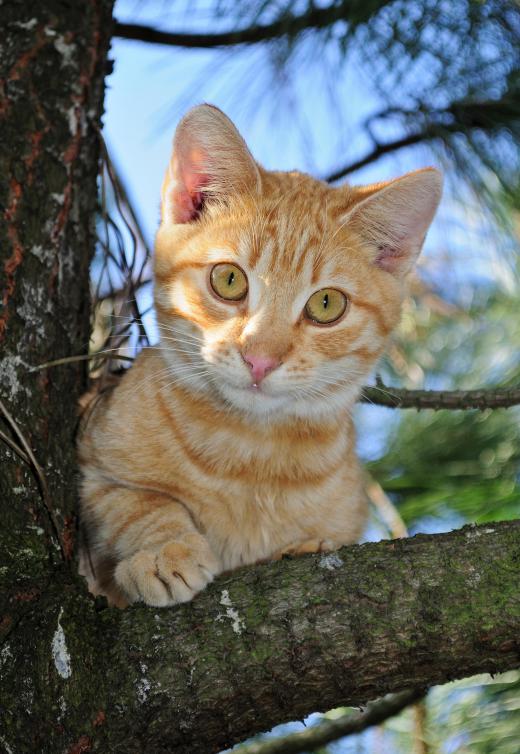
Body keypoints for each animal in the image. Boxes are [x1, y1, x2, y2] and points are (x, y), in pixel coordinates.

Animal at [78, 103, 442, 604]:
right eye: (229, 279)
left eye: (326, 305)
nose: (260, 358)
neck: (251, 454)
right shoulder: (91, 459)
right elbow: (133, 501)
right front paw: (163, 547)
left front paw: (302, 545)